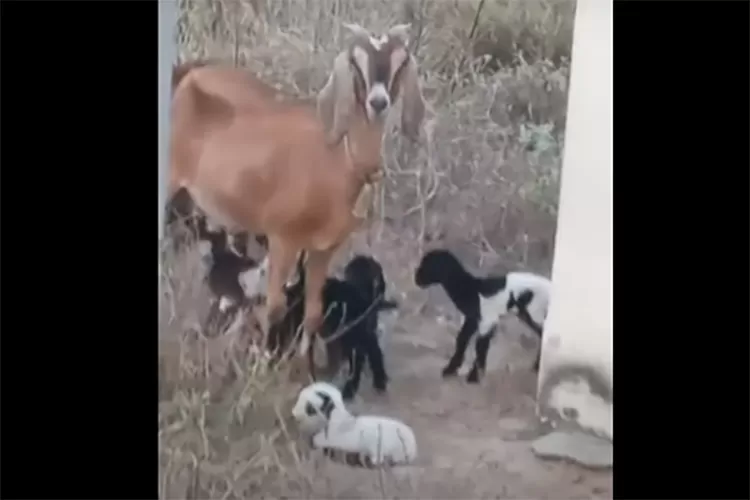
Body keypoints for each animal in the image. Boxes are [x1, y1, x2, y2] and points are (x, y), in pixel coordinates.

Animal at [172, 21, 428, 376]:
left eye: (400, 63)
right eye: (356, 63)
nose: (378, 102)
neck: (338, 162)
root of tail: (187, 73)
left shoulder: (325, 248)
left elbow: (314, 311)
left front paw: (303, 366)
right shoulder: (283, 239)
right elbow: (275, 306)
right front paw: (265, 363)